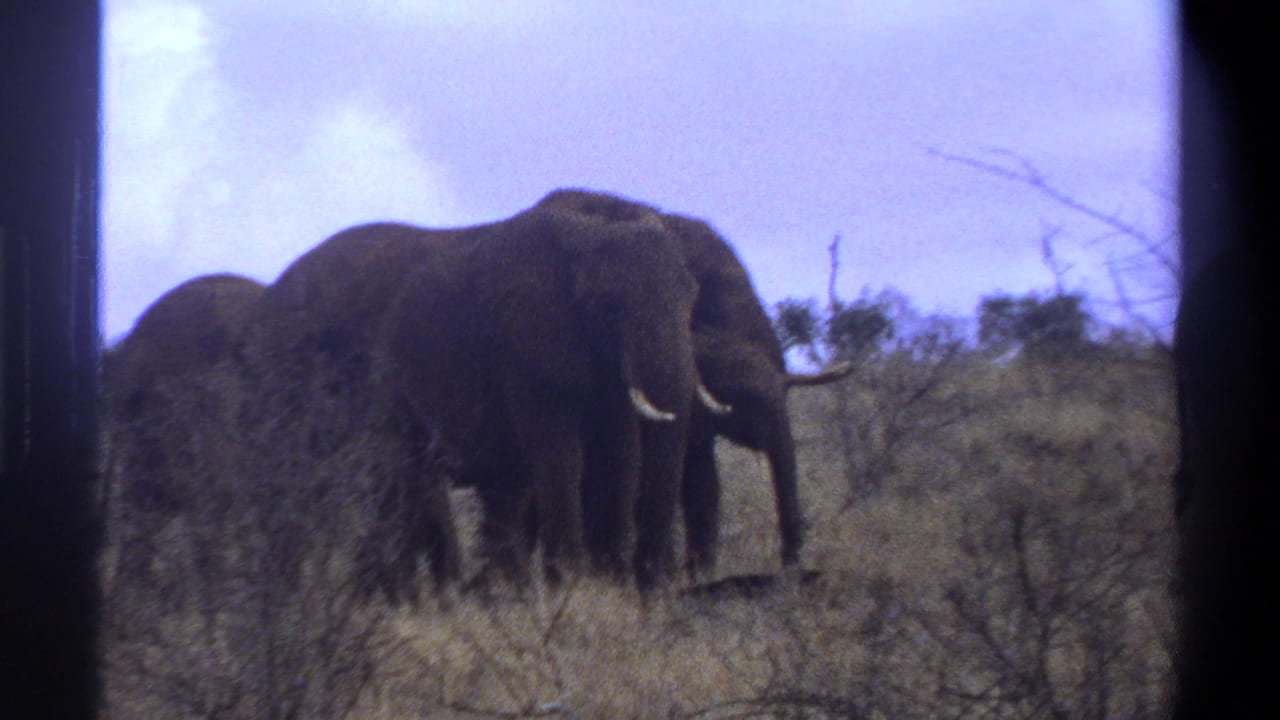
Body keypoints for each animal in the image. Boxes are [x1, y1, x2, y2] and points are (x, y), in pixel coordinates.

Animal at [239, 204, 702, 592]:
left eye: (692, 296)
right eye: (608, 305)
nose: (656, 587)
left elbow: (622, 457)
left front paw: (607, 591)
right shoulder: (526, 347)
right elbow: (560, 457)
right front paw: (575, 590)